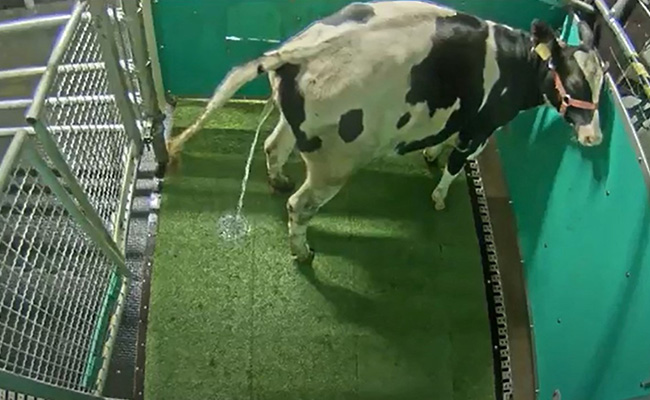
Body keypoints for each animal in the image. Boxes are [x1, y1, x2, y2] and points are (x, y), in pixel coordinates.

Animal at [167, 0, 607, 265]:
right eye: (573, 81)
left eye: (601, 84)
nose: (595, 138)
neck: (516, 63)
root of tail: (297, 50)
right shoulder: (483, 125)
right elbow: (456, 164)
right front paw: (439, 196)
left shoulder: (462, 118)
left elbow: (445, 144)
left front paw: (430, 155)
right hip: (334, 164)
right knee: (300, 205)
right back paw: (303, 252)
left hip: (296, 128)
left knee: (274, 148)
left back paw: (278, 182)